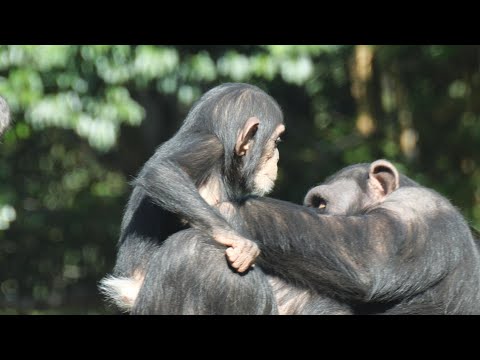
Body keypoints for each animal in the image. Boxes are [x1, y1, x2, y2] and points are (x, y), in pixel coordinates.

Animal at [98, 82, 284, 312]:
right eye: (276, 141)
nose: (277, 159)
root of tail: (126, 294)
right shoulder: (209, 145)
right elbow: (161, 172)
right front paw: (236, 240)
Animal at [136, 159, 480, 314]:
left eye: (320, 204)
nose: (311, 209)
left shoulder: (418, 212)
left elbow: (367, 259)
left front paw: (217, 208)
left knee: (197, 254)